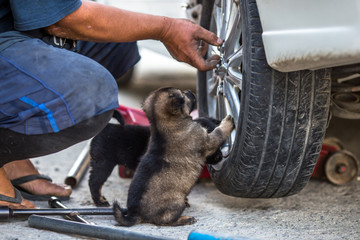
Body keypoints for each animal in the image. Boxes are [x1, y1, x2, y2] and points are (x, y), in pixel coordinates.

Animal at [89, 108, 224, 206]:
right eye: (209, 146)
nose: (220, 157)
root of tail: (106, 127)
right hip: (104, 163)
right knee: (94, 182)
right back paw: (100, 202)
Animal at [114, 87, 235, 226]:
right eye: (183, 94)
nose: (189, 90)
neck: (162, 126)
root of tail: (135, 214)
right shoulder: (207, 141)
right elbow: (219, 132)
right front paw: (227, 122)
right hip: (176, 204)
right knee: (166, 221)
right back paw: (185, 219)